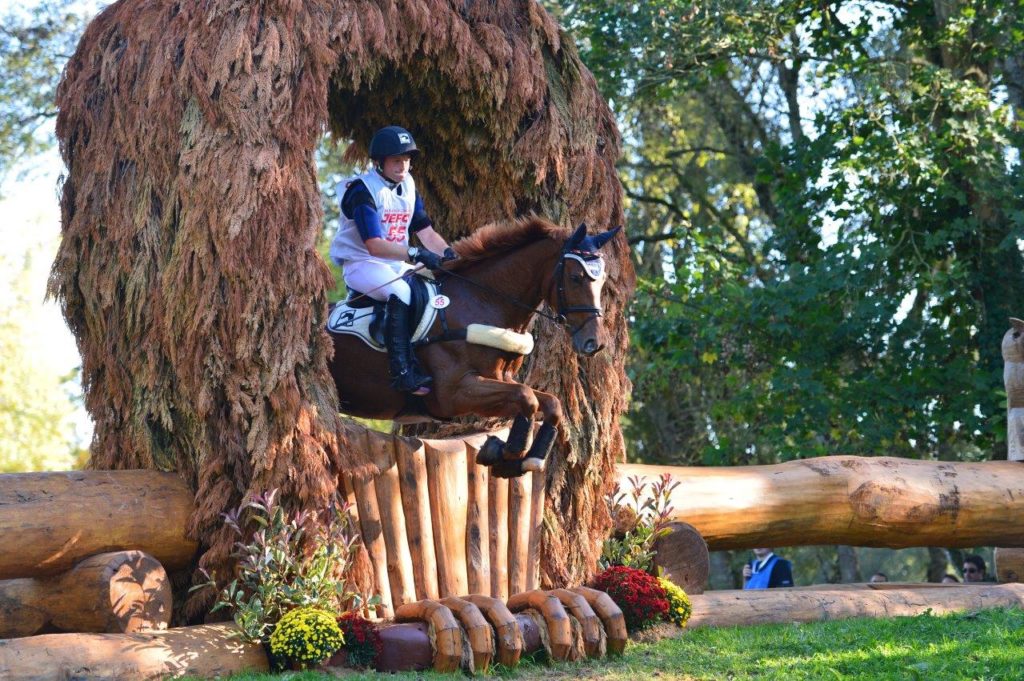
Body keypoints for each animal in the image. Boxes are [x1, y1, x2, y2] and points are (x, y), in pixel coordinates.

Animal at [327, 218, 618, 477]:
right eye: (576, 277)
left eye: (603, 279)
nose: (595, 343)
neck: (482, 301)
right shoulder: (455, 394)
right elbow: (527, 397)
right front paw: (506, 453)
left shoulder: (499, 381)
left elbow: (549, 403)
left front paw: (527, 458)